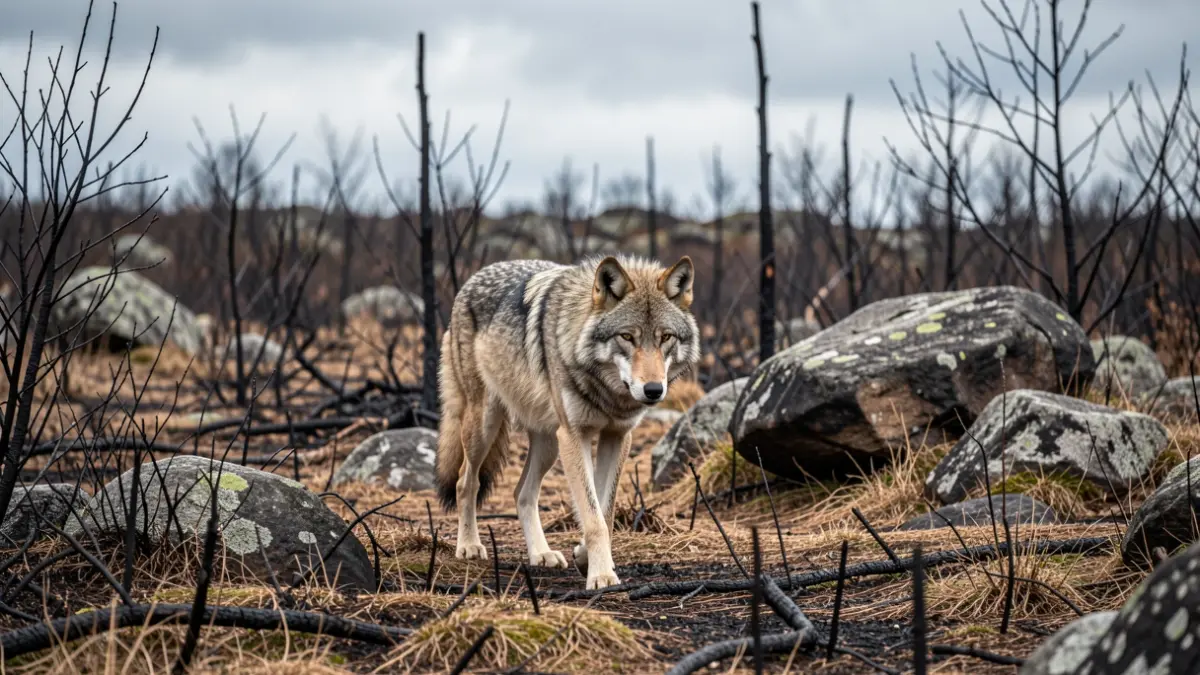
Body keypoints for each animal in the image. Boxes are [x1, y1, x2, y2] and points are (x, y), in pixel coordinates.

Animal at [434, 254, 701, 589]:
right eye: (627, 337)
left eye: (665, 337)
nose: (653, 390)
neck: (607, 393)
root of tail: (471, 280)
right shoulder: (575, 436)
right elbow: (593, 515)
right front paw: (601, 575)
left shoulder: (617, 436)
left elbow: (604, 511)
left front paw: (586, 557)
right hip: (485, 426)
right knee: (465, 482)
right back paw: (469, 545)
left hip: (548, 444)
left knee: (522, 493)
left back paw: (541, 554)